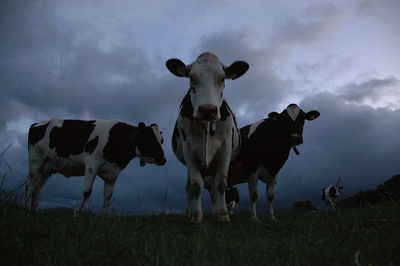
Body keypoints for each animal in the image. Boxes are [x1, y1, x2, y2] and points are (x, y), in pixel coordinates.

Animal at [25, 119, 166, 215]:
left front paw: (105, 217)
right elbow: (87, 191)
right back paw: (26, 208)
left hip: (47, 169)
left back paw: (33, 211)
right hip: (35, 161)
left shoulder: (113, 173)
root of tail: (36, 124)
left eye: (162, 140)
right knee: (30, 185)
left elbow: (108, 196)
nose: (163, 160)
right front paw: (76, 213)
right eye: (149, 138)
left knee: (36, 189)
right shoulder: (92, 164)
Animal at [165, 51, 247, 222]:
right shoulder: (189, 150)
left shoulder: (225, 149)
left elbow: (221, 184)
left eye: (222, 78)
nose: (208, 109)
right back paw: (188, 213)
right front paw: (196, 216)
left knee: (214, 187)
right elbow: (196, 186)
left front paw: (222, 215)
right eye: (191, 77)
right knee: (189, 187)